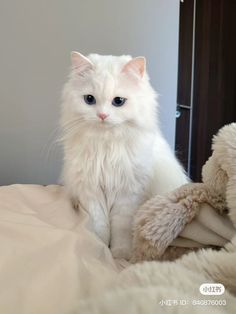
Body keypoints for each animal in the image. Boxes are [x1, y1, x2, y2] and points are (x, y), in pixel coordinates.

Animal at [60, 51, 188, 258]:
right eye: (89, 99)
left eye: (118, 101)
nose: (102, 116)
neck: (106, 146)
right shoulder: (91, 192)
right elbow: (100, 228)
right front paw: (101, 249)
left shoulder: (128, 195)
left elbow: (120, 229)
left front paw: (120, 254)